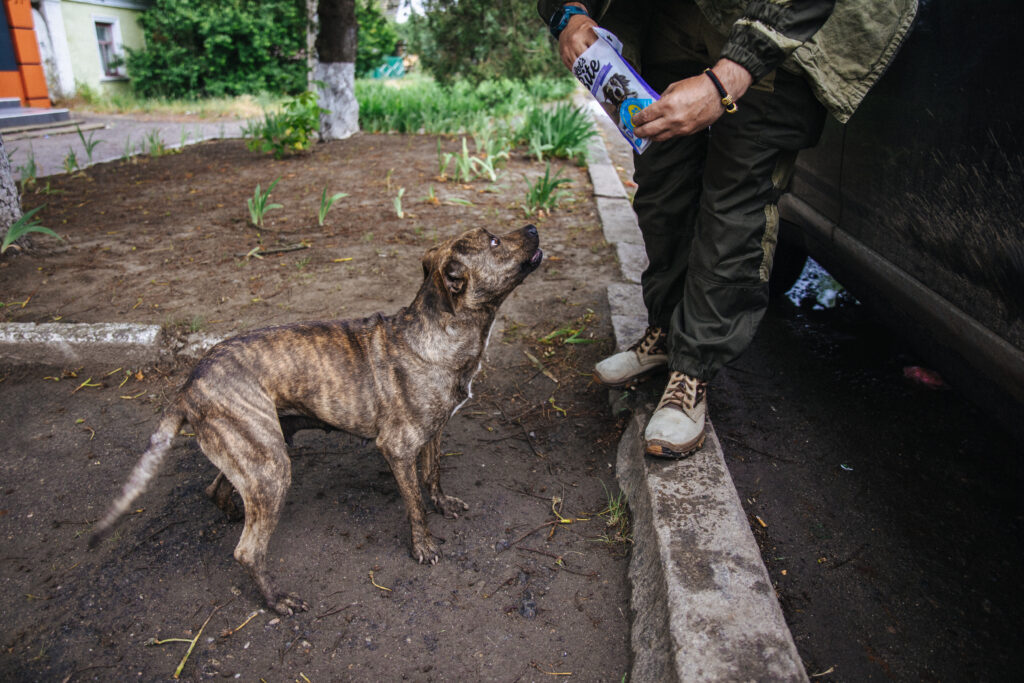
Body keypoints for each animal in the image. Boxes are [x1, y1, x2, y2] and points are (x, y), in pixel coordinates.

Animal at [90, 224, 544, 614]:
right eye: (494, 241)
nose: (534, 227)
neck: (441, 330)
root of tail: (189, 385)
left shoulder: (434, 431)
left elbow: (433, 475)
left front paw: (444, 503)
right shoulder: (398, 450)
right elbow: (415, 504)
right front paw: (424, 547)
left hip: (255, 452)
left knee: (216, 488)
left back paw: (236, 513)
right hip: (272, 467)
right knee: (247, 551)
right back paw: (276, 600)